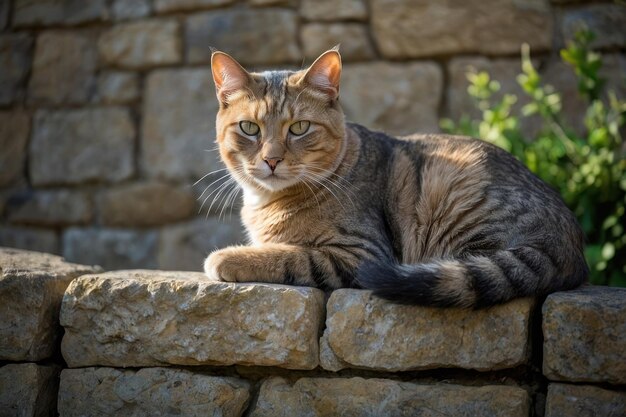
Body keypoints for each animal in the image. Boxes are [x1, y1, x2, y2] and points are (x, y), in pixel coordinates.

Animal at [202, 47, 588, 308]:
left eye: (299, 128)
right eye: (249, 128)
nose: (271, 159)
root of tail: (567, 242)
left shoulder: (361, 253)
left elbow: (288, 255)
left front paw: (228, 258)